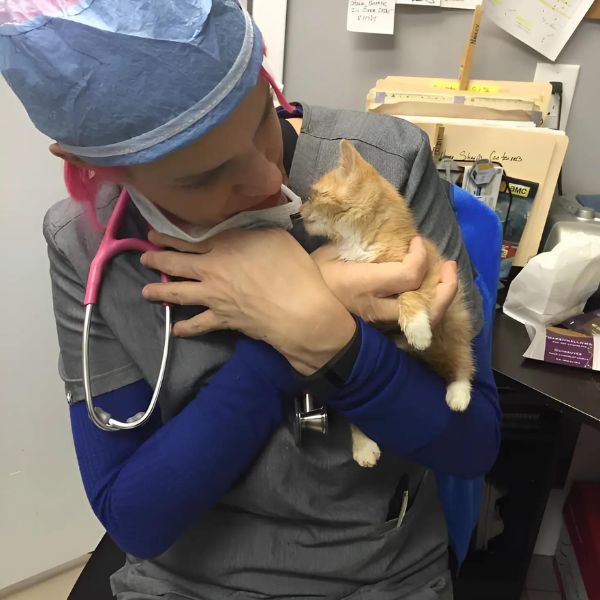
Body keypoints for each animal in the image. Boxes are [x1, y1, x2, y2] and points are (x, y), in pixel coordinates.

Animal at [302, 139, 476, 468]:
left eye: (315, 194)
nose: (299, 210)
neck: (359, 242)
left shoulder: (428, 272)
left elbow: (409, 294)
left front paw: (417, 328)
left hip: (454, 322)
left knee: (460, 356)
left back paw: (458, 390)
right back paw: (363, 445)